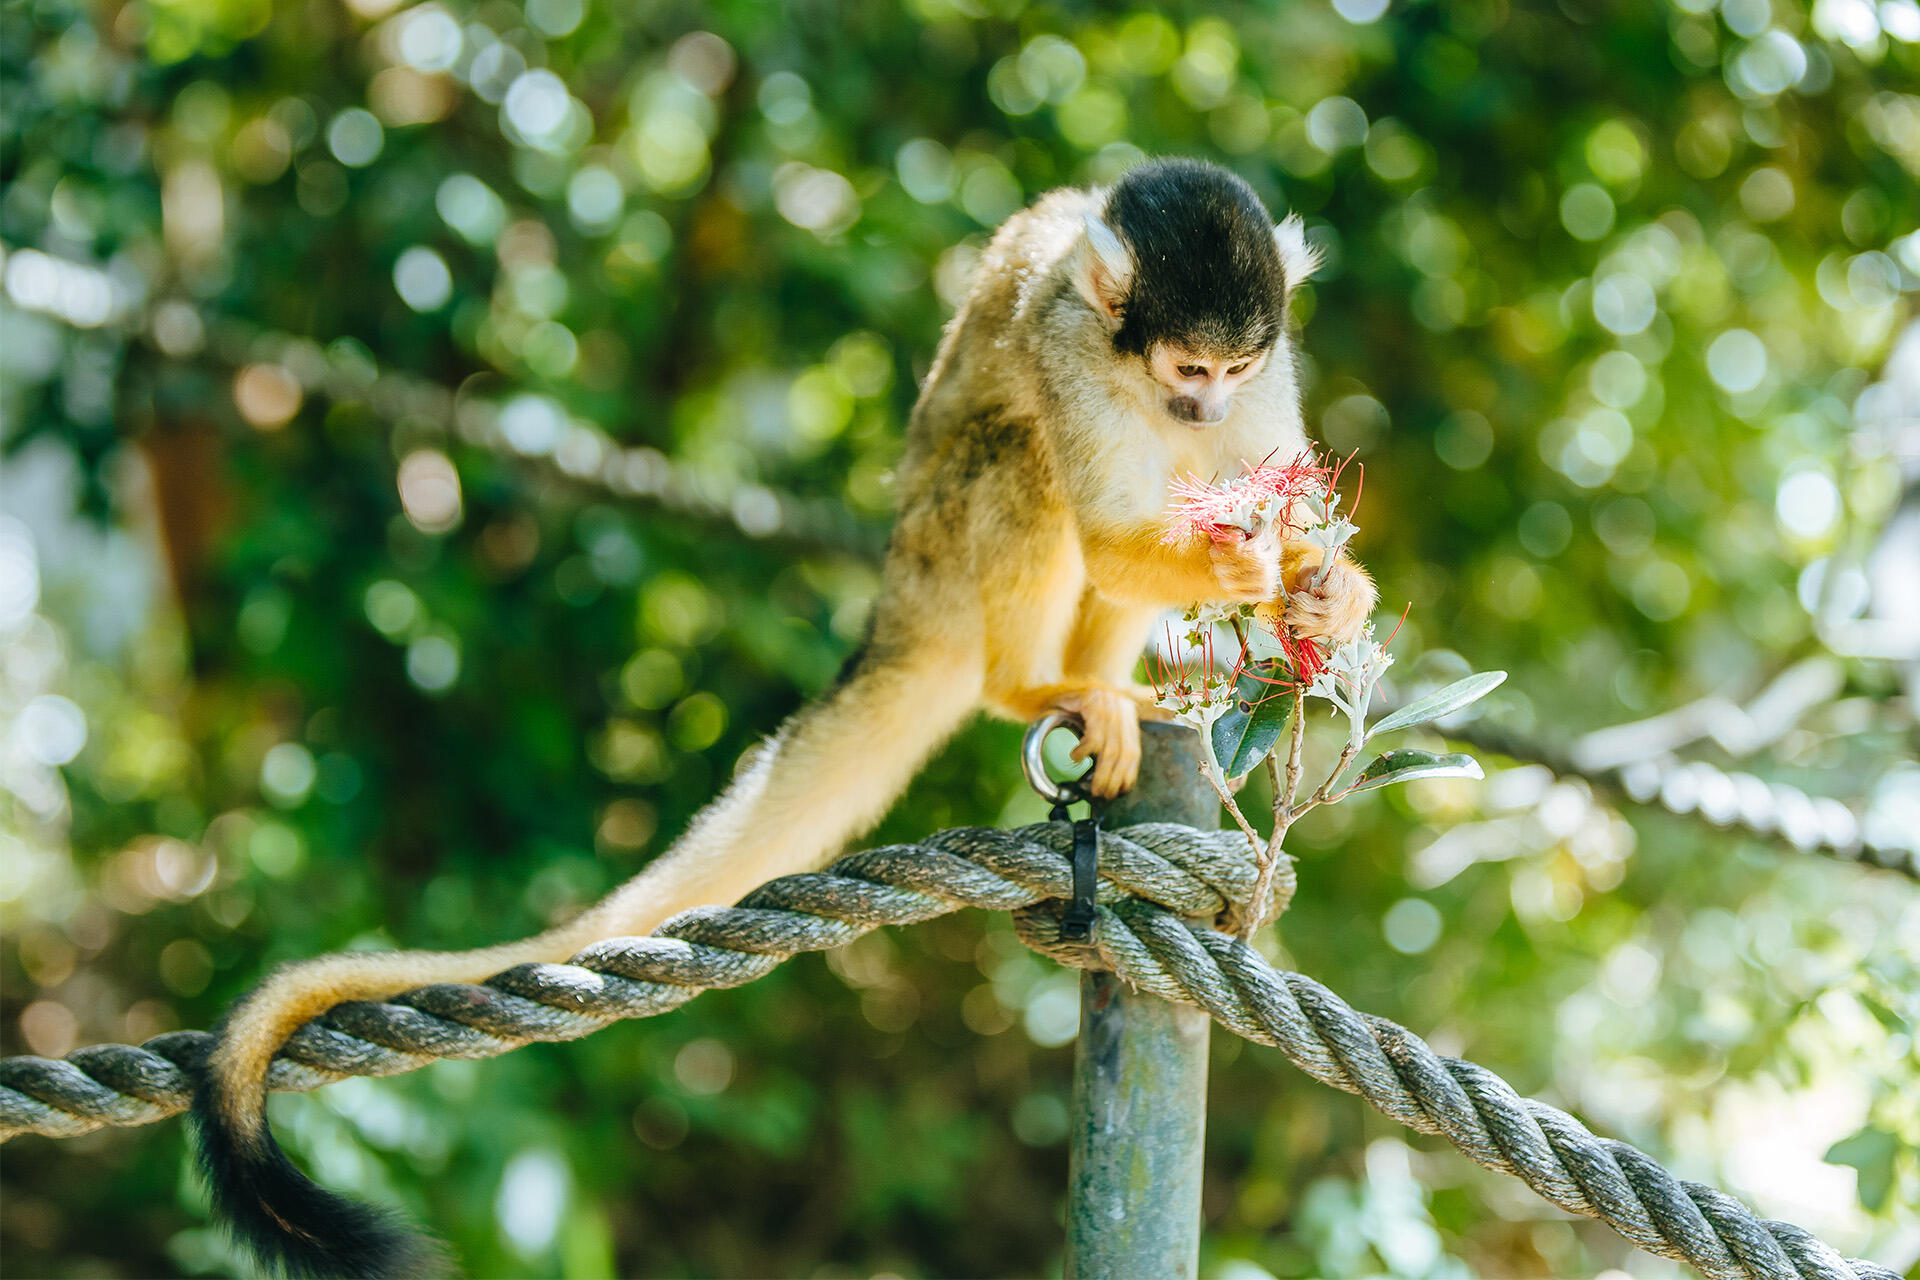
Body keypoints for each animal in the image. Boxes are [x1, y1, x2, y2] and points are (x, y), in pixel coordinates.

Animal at [198, 155, 1382, 1274]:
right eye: (1188, 368)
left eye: (1231, 371)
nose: (1206, 407)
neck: (1141, 374)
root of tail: (903, 599)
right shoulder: (1069, 351)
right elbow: (1102, 524)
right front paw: (1248, 564)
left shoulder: (1272, 365)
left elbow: (1241, 489)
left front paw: (1321, 585)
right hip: (943, 550)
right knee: (1022, 460)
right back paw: (1033, 684)